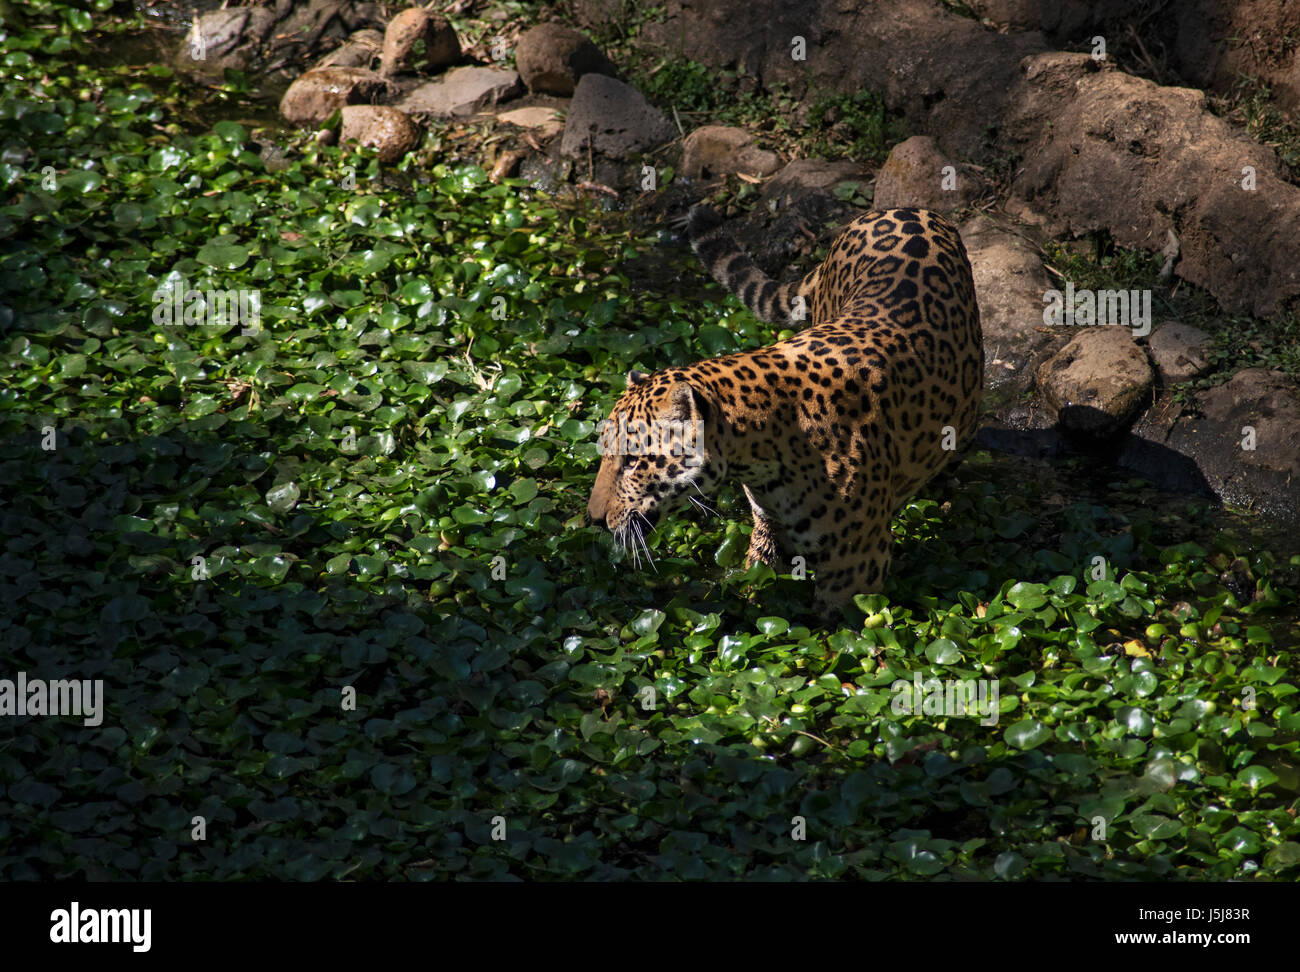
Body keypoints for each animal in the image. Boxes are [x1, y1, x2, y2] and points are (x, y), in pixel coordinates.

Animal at [586, 204, 984, 613]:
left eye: (633, 462)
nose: (594, 520)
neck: (762, 450)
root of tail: (901, 208)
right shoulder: (768, 528)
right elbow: (757, 580)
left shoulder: (856, 567)